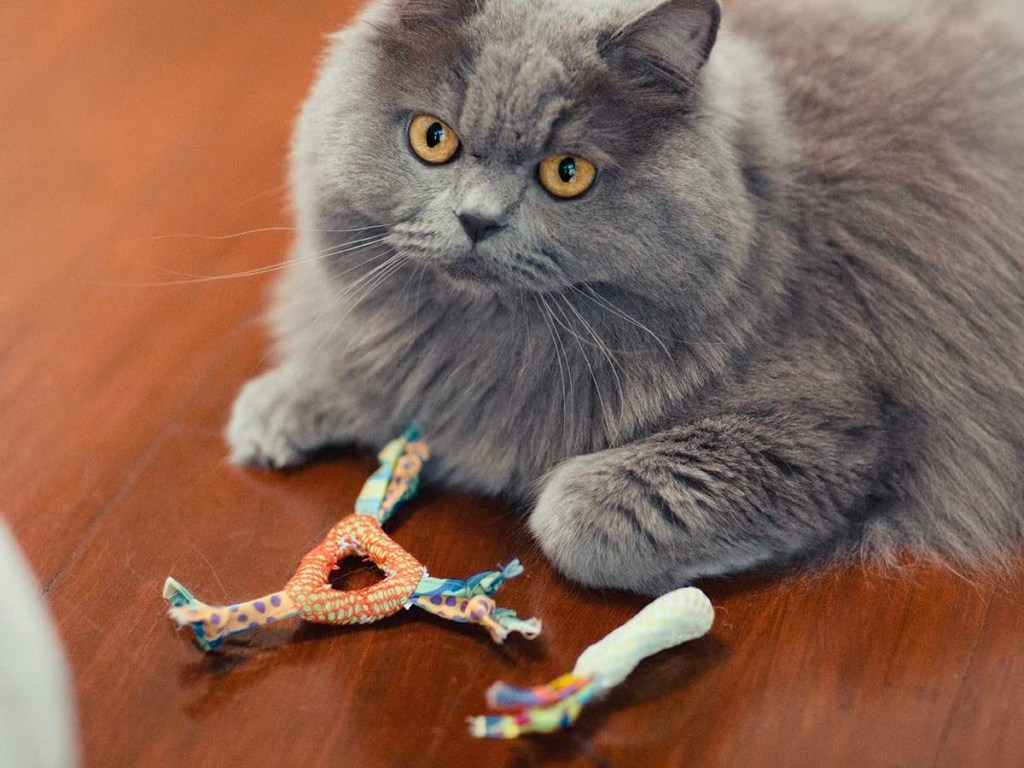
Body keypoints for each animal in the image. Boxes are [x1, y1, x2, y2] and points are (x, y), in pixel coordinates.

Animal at [226, 0, 1024, 593]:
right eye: (433, 138)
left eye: (567, 174)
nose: (477, 221)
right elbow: (366, 369)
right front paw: (281, 405)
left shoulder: (824, 427)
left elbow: (573, 513)